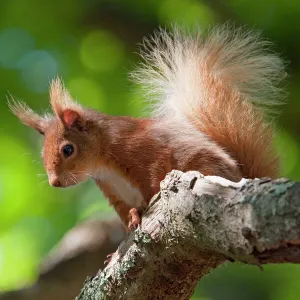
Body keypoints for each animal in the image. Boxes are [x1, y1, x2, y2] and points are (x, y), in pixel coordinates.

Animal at [9, 25, 286, 230]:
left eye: (68, 149)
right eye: (42, 154)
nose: (54, 182)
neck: (103, 159)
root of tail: (243, 176)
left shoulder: (142, 151)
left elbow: (154, 178)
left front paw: (146, 204)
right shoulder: (113, 192)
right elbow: (124, 211)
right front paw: (125, 232)